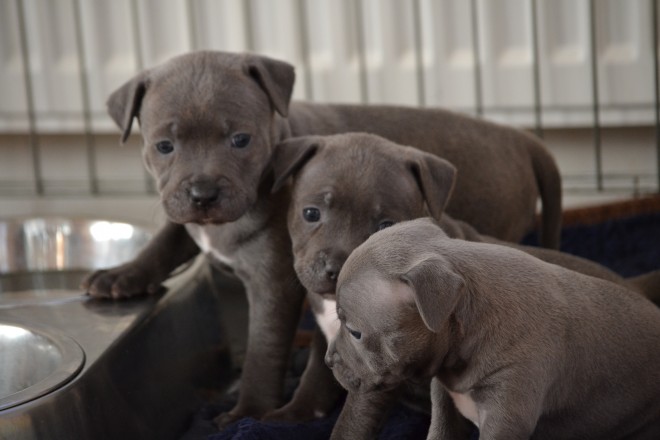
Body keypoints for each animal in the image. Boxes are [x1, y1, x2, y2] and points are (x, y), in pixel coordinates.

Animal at [80, 50, 560, 426]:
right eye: (164, 146)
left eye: (241, 140)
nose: (203, 194)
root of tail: (520, 137)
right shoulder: (189, 220)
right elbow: (167, 237)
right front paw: (122, 274)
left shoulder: (274, 284)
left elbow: (263, 350)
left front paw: (249, 412)